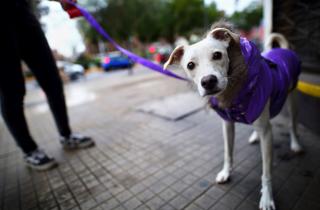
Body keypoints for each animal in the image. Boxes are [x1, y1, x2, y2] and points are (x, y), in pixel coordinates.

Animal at [165, 22, 302, 209]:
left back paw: (295, 144)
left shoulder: (267, 133)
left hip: (292, 100)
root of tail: (284, 49)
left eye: (217, 55)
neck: (234, 93)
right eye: (190, 65)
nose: (208, 81)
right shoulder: (228, 124)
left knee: (292, 125)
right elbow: (228, 153)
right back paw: (255, 136)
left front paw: (267, 198)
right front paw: (225, 173)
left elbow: (266, 172)